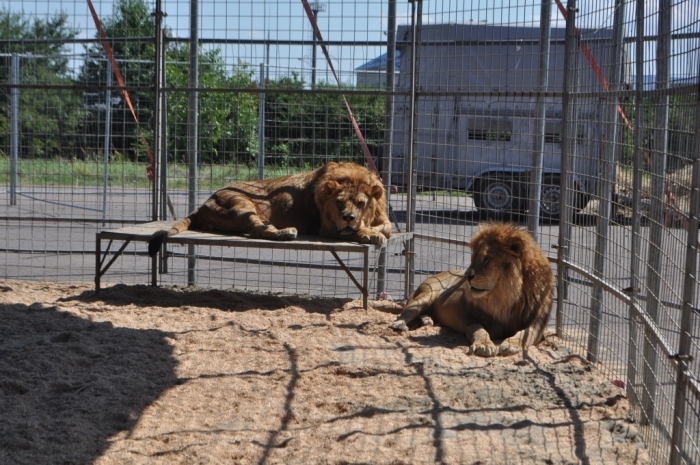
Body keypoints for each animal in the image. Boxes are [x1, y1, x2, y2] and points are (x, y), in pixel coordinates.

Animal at [147, 160, 392, 258]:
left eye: (361, 203)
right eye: (339, 203)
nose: (348, 217)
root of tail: (203, 203)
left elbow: (387, 227)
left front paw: (373, 230)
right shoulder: (327, 228)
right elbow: (356, 232)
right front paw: (368, 233)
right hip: (240, 203)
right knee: (259, 229)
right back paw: (286, 232)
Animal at [388, 221, 552, 356]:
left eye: (487, 259)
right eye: (473, 258)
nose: (467, 276)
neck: (505, 298)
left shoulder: (537, 325)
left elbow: (524, 334)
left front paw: (510, 345)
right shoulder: (473, 320)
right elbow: (481, 331)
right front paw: (484, 346)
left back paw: (426, 319)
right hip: (426, 295)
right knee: (406, 312)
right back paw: (399, 324)